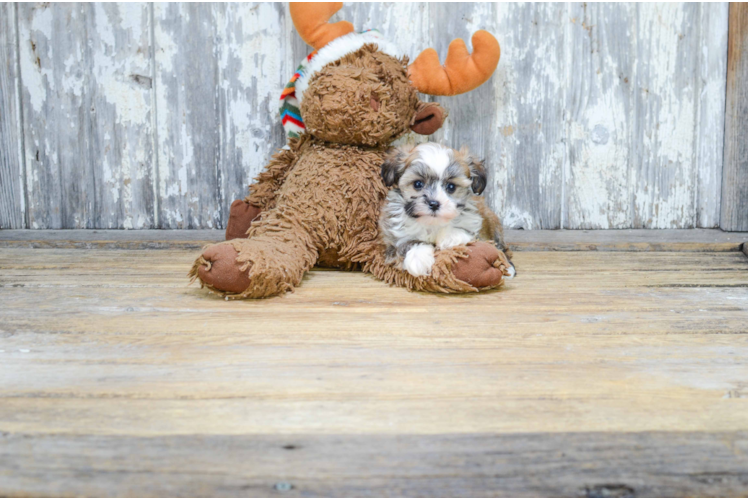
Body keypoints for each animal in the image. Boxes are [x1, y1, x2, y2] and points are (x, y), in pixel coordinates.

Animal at [380, 143, 516, 280]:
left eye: (451, 187)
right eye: (418, 184)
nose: (434, 203)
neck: (433, 223)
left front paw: (451, 236)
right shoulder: (393, 238)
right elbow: (407, 243)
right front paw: (418, 257)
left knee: (500, 248)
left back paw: (507, 268)